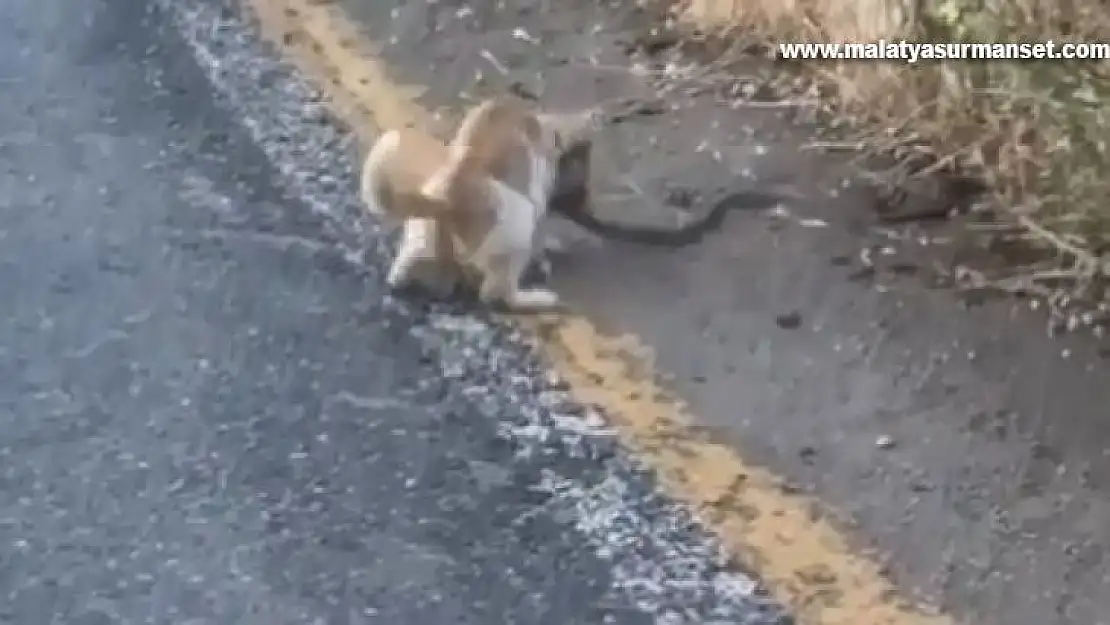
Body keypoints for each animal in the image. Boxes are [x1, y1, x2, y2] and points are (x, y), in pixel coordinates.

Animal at [357, 94, 599, 310]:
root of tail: (447, 198)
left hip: (423, 229)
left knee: (406, 267)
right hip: (519, 225)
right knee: (495, 294)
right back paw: (538, 298)